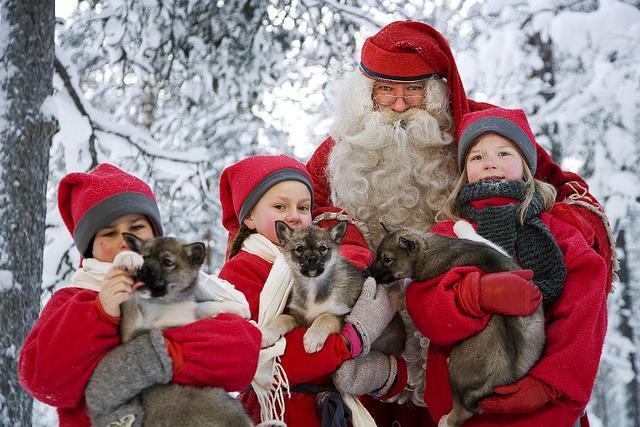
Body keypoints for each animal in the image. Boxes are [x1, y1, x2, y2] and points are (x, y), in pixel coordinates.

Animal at [110, 234, 252, 427]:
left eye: (167, 262)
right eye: (144, 257)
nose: (142, 271)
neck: (166, 302)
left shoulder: (189, 314)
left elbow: (203, 306)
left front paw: (237, 308)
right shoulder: (131, 329)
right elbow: (130, 299)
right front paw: (126, 258)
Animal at [370, 224, 544, 427]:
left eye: (387, 259)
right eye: (377, 255)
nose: (367, 272)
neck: (427, 248)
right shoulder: (492, 249)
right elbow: (483, 240)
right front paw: (462, 226)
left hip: (460, 370)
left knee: (463, 410)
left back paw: (445, 420)